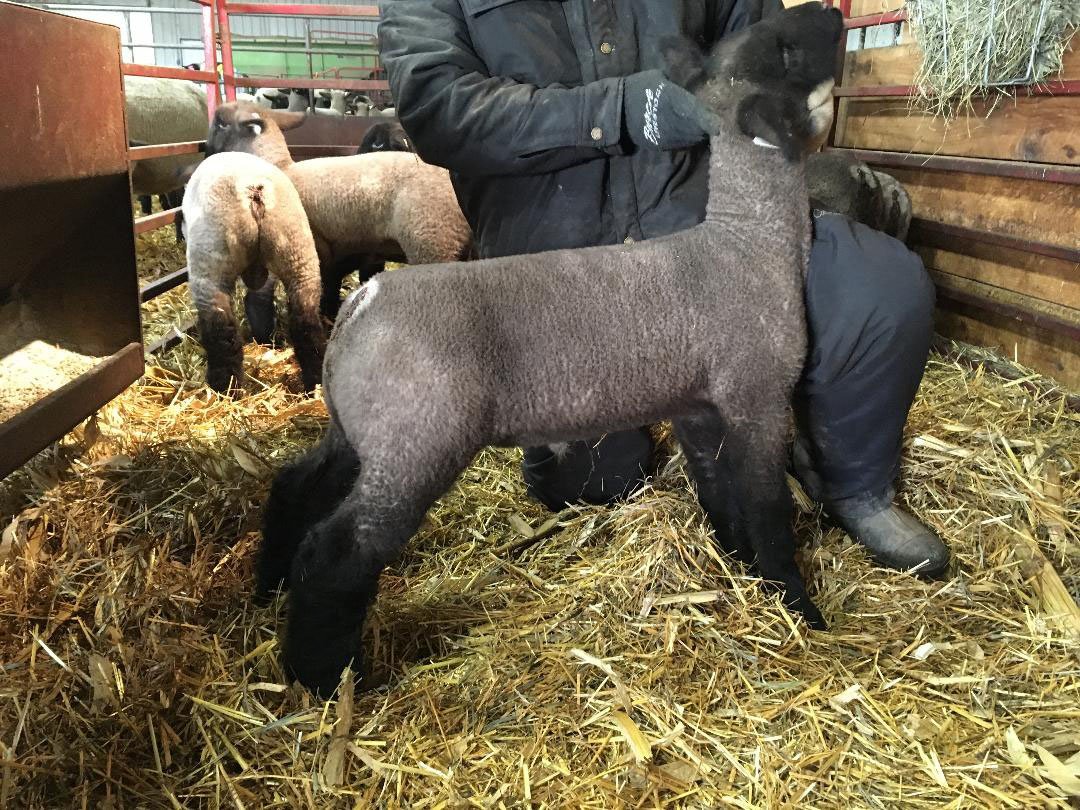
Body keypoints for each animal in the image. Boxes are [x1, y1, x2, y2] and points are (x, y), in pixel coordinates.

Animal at [182, 152, 326, 393]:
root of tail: (254, 190)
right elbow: (259, 303)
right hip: (298, 253)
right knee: (306, 323)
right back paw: (314, 383)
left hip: (211, 263)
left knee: (221, 333)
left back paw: (225, 389)